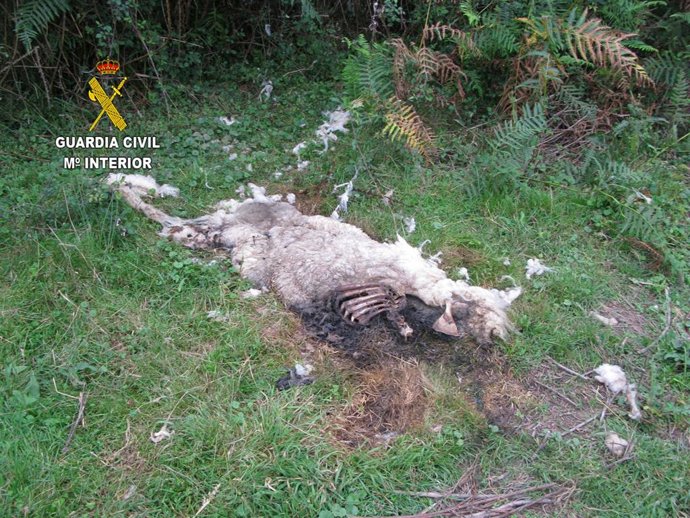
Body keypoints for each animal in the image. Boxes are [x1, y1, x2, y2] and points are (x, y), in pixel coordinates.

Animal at [108, 175, 521, 344]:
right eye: (470, 311)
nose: (499, 335)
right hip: (235, 244)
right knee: (182, 230)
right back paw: (133, 195)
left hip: (239, 238)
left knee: (189, 229)